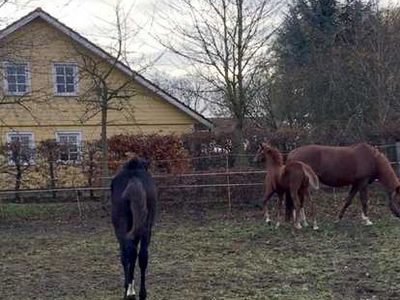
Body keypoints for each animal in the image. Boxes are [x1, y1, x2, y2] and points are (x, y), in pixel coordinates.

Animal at [112, 156, 158, 298]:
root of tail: (134, 180)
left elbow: (124, 257)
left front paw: (127, 286)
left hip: (121, 228)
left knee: (128, 252)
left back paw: (129, 292)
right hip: (145, 228)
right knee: (142, 256)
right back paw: (142, 294)